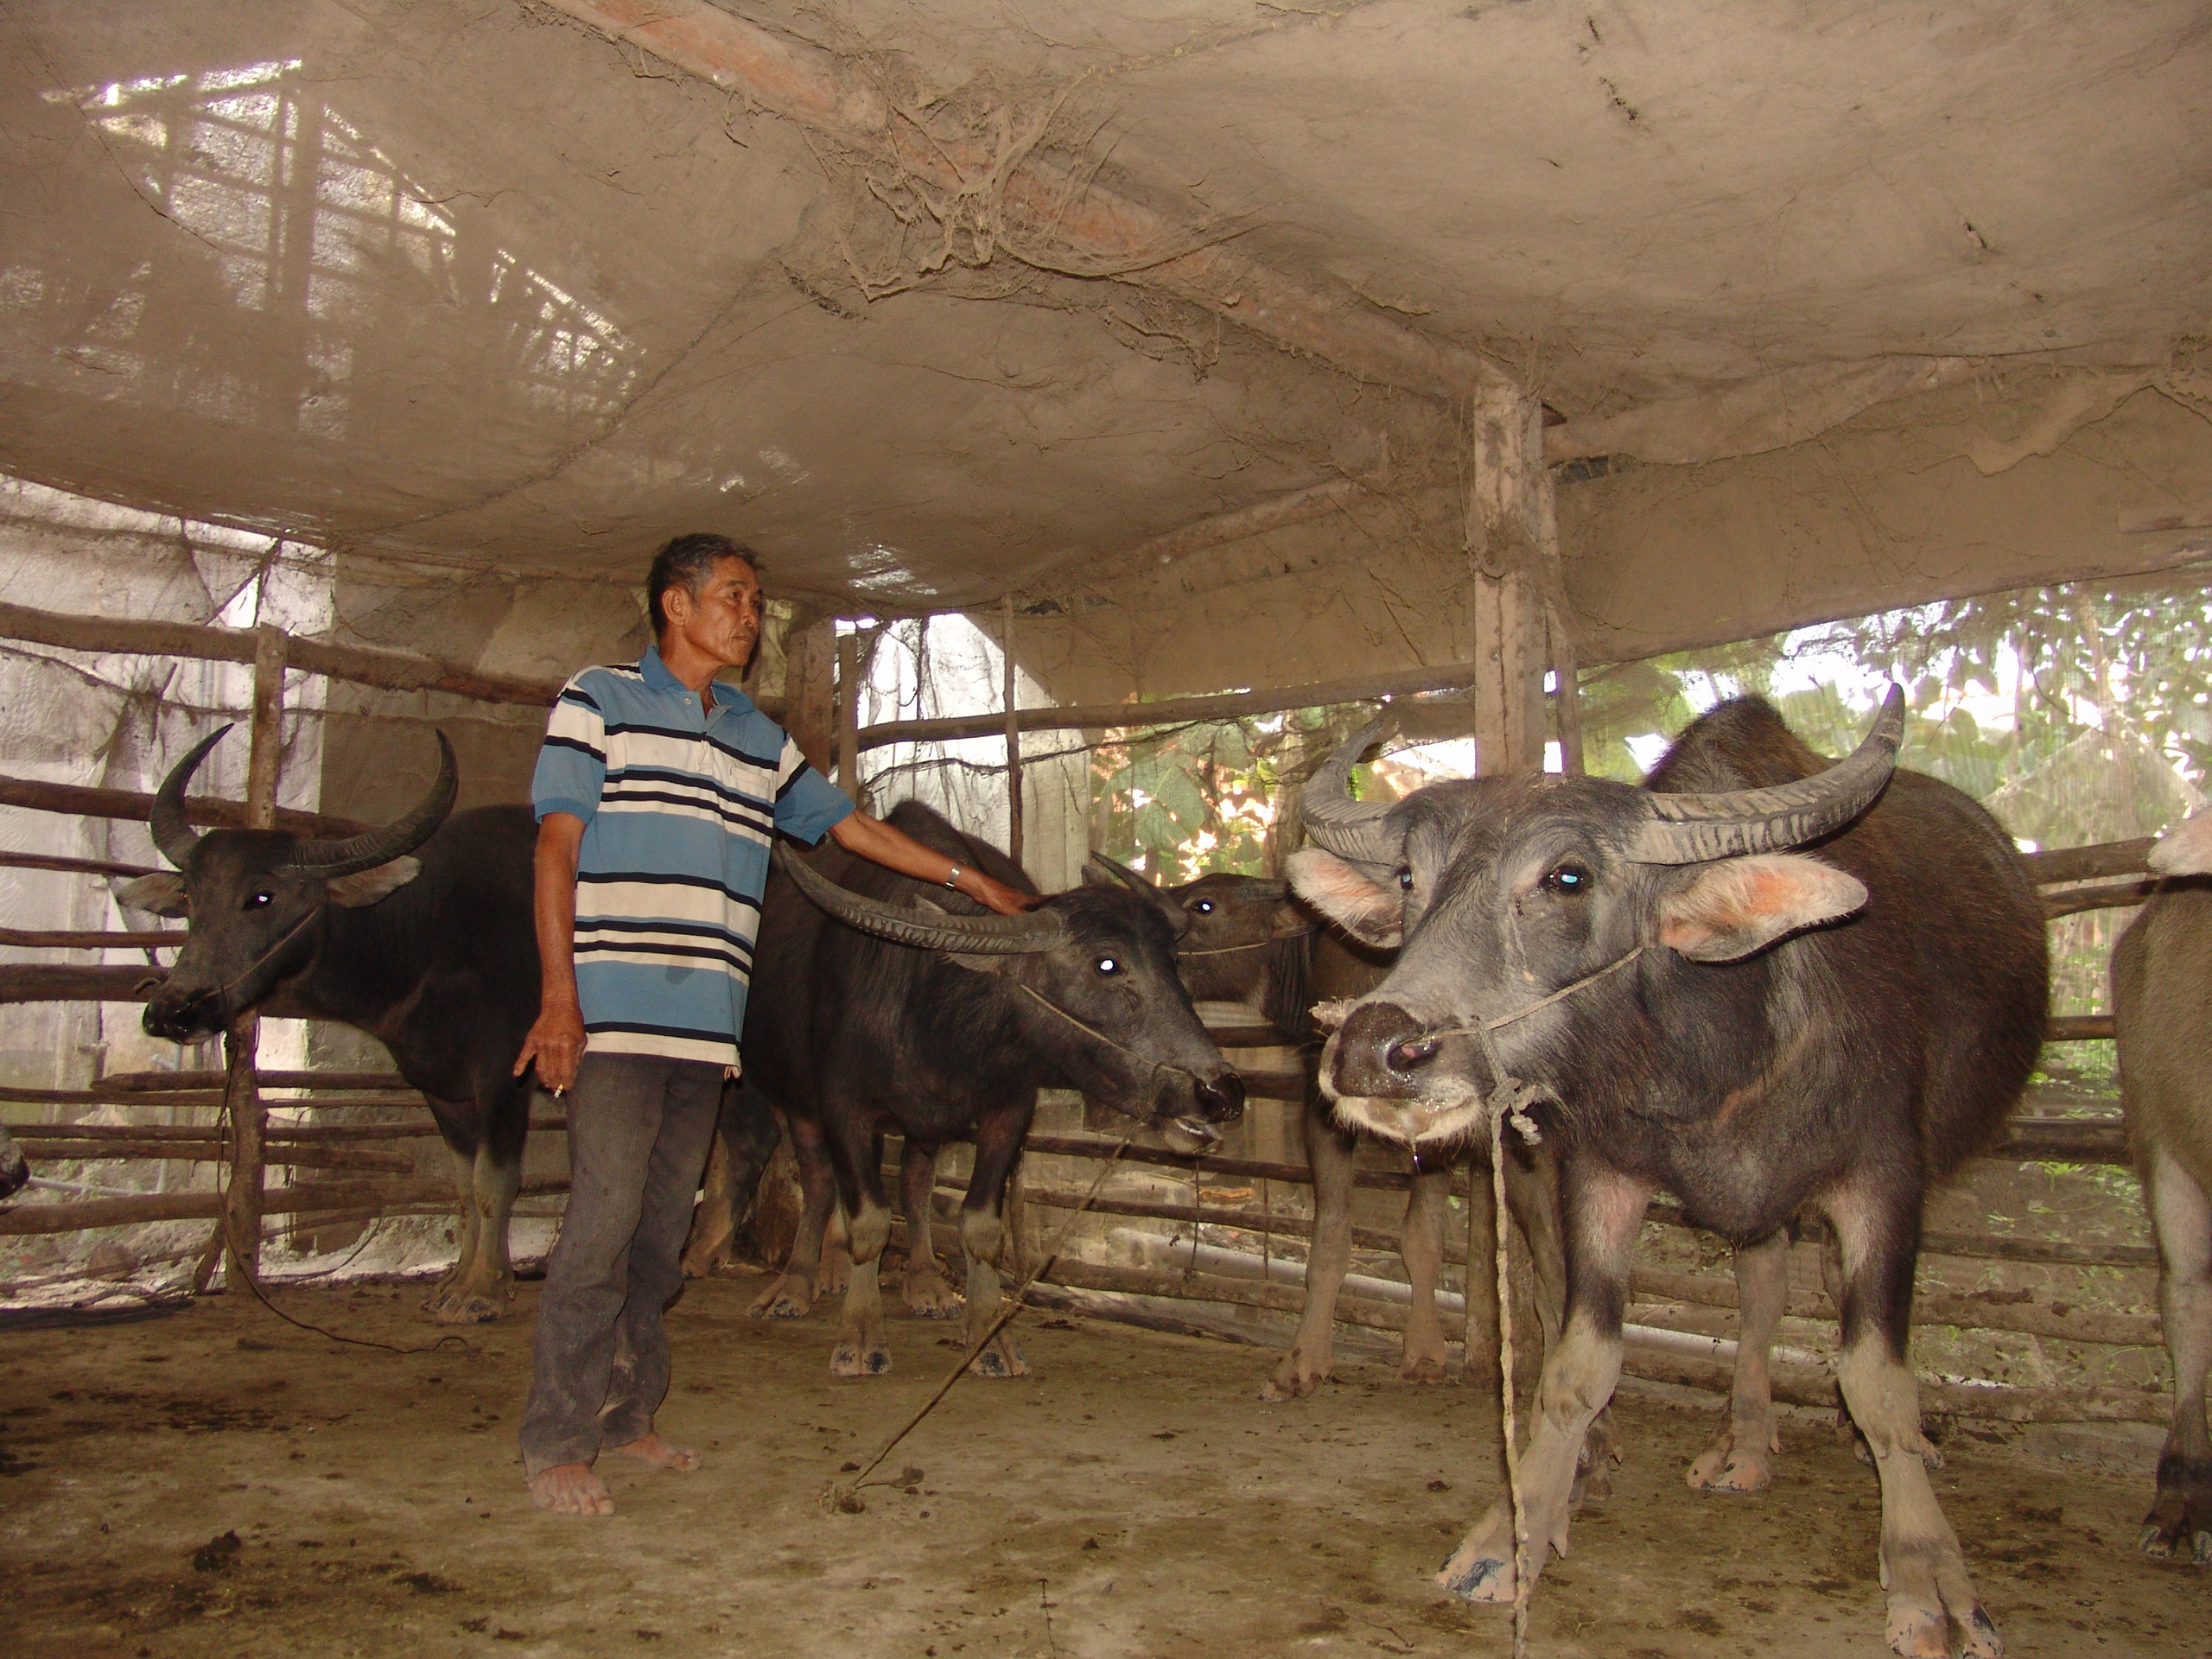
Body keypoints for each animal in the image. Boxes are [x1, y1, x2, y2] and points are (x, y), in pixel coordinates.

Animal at [119, 725, 539, 1327]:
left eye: (261, 896)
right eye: (189, 898)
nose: (174, 1010)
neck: (429, 936)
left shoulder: (506, 1078)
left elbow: (493, 1184)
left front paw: (480, 1291)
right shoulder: (443, 1089)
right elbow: (463, 1188)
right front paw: (467, 1279)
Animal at [1292, 690, 2035, 1659]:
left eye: (1568, 877)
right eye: (1412, 878)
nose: (1376, 1052)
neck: (1726, 1046)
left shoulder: (1886, 1179)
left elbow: (1877, 1378)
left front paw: (1929, 1574)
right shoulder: (1600, 1171)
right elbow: (1579, 1363)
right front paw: (1513, 1536)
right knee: (1760, 1290)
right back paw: (1745, 1444)